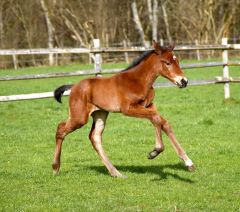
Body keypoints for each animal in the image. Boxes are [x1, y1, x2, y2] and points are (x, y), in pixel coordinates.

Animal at [52, 40, 195, 177]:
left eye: (177, 61)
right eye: (167, 63)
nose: (184, 81)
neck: (139, 81)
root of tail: (74, 86)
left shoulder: (149, 106)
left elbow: (163, 123)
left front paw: (188, 163)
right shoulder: (128, 109)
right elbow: (156, 119)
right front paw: (154, 152)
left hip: (100, 114)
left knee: (95, 137)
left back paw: (116, 173)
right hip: (79, 117)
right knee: (61, 129)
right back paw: (55, 168)